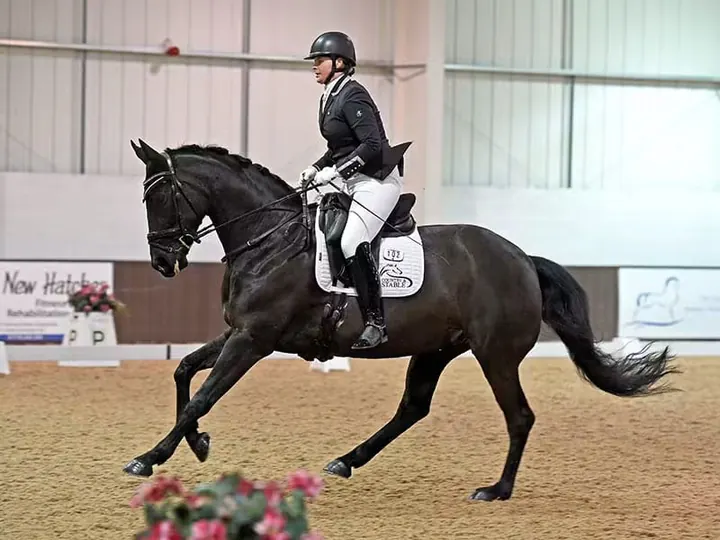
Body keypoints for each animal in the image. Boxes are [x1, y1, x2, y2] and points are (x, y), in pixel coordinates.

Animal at [122, 138, 679, 501]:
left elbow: (202, 396)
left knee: (518, 416)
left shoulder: (254, 339)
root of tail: (522, 258)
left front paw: (151, 456)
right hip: (436, 349)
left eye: (162, 196)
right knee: (413, 407)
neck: (270, 239)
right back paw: (346, 461)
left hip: (495, 355)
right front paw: (196, 445)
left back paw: (496, 490)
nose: (163, 262)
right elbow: (184, 372)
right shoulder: (239, 332)